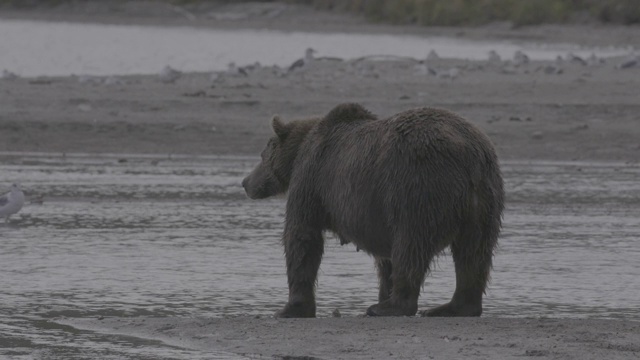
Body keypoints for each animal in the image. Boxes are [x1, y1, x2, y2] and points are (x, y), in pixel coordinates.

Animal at [241, 103, 504, 318]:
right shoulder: (375, 212)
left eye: (262, 154)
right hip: (484, 201)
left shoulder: (312, 179)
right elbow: (384, 258)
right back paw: (452, 307)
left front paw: (289, 308)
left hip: (418, 187)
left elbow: (302, 236)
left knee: (410, 246)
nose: (245, 182)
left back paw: (389, 307)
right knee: (473, 253)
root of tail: (468, 154)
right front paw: (383, 291)